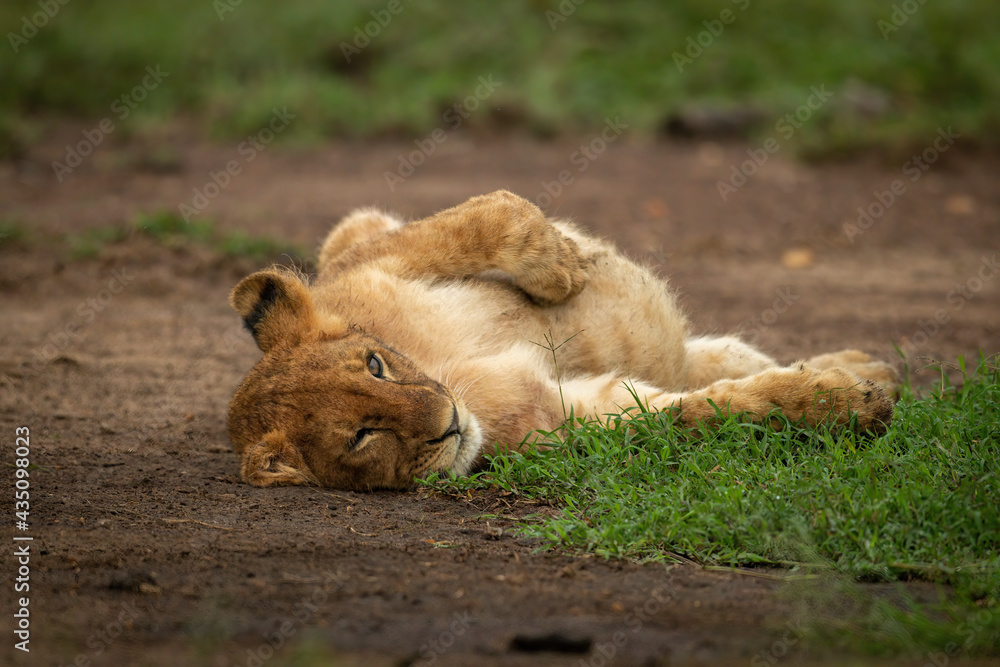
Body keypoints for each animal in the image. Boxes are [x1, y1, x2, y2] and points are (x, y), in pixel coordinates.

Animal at [227, 190, 896, 491]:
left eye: (374, 365)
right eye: (360, 437)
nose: (448, 420)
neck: (449, 371)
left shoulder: (370, 256)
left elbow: (495, 213)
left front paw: (566, 269)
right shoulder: (555, 415)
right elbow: (704, 412)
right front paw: (845, 405)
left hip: (350, 228)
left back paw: (870, 363)